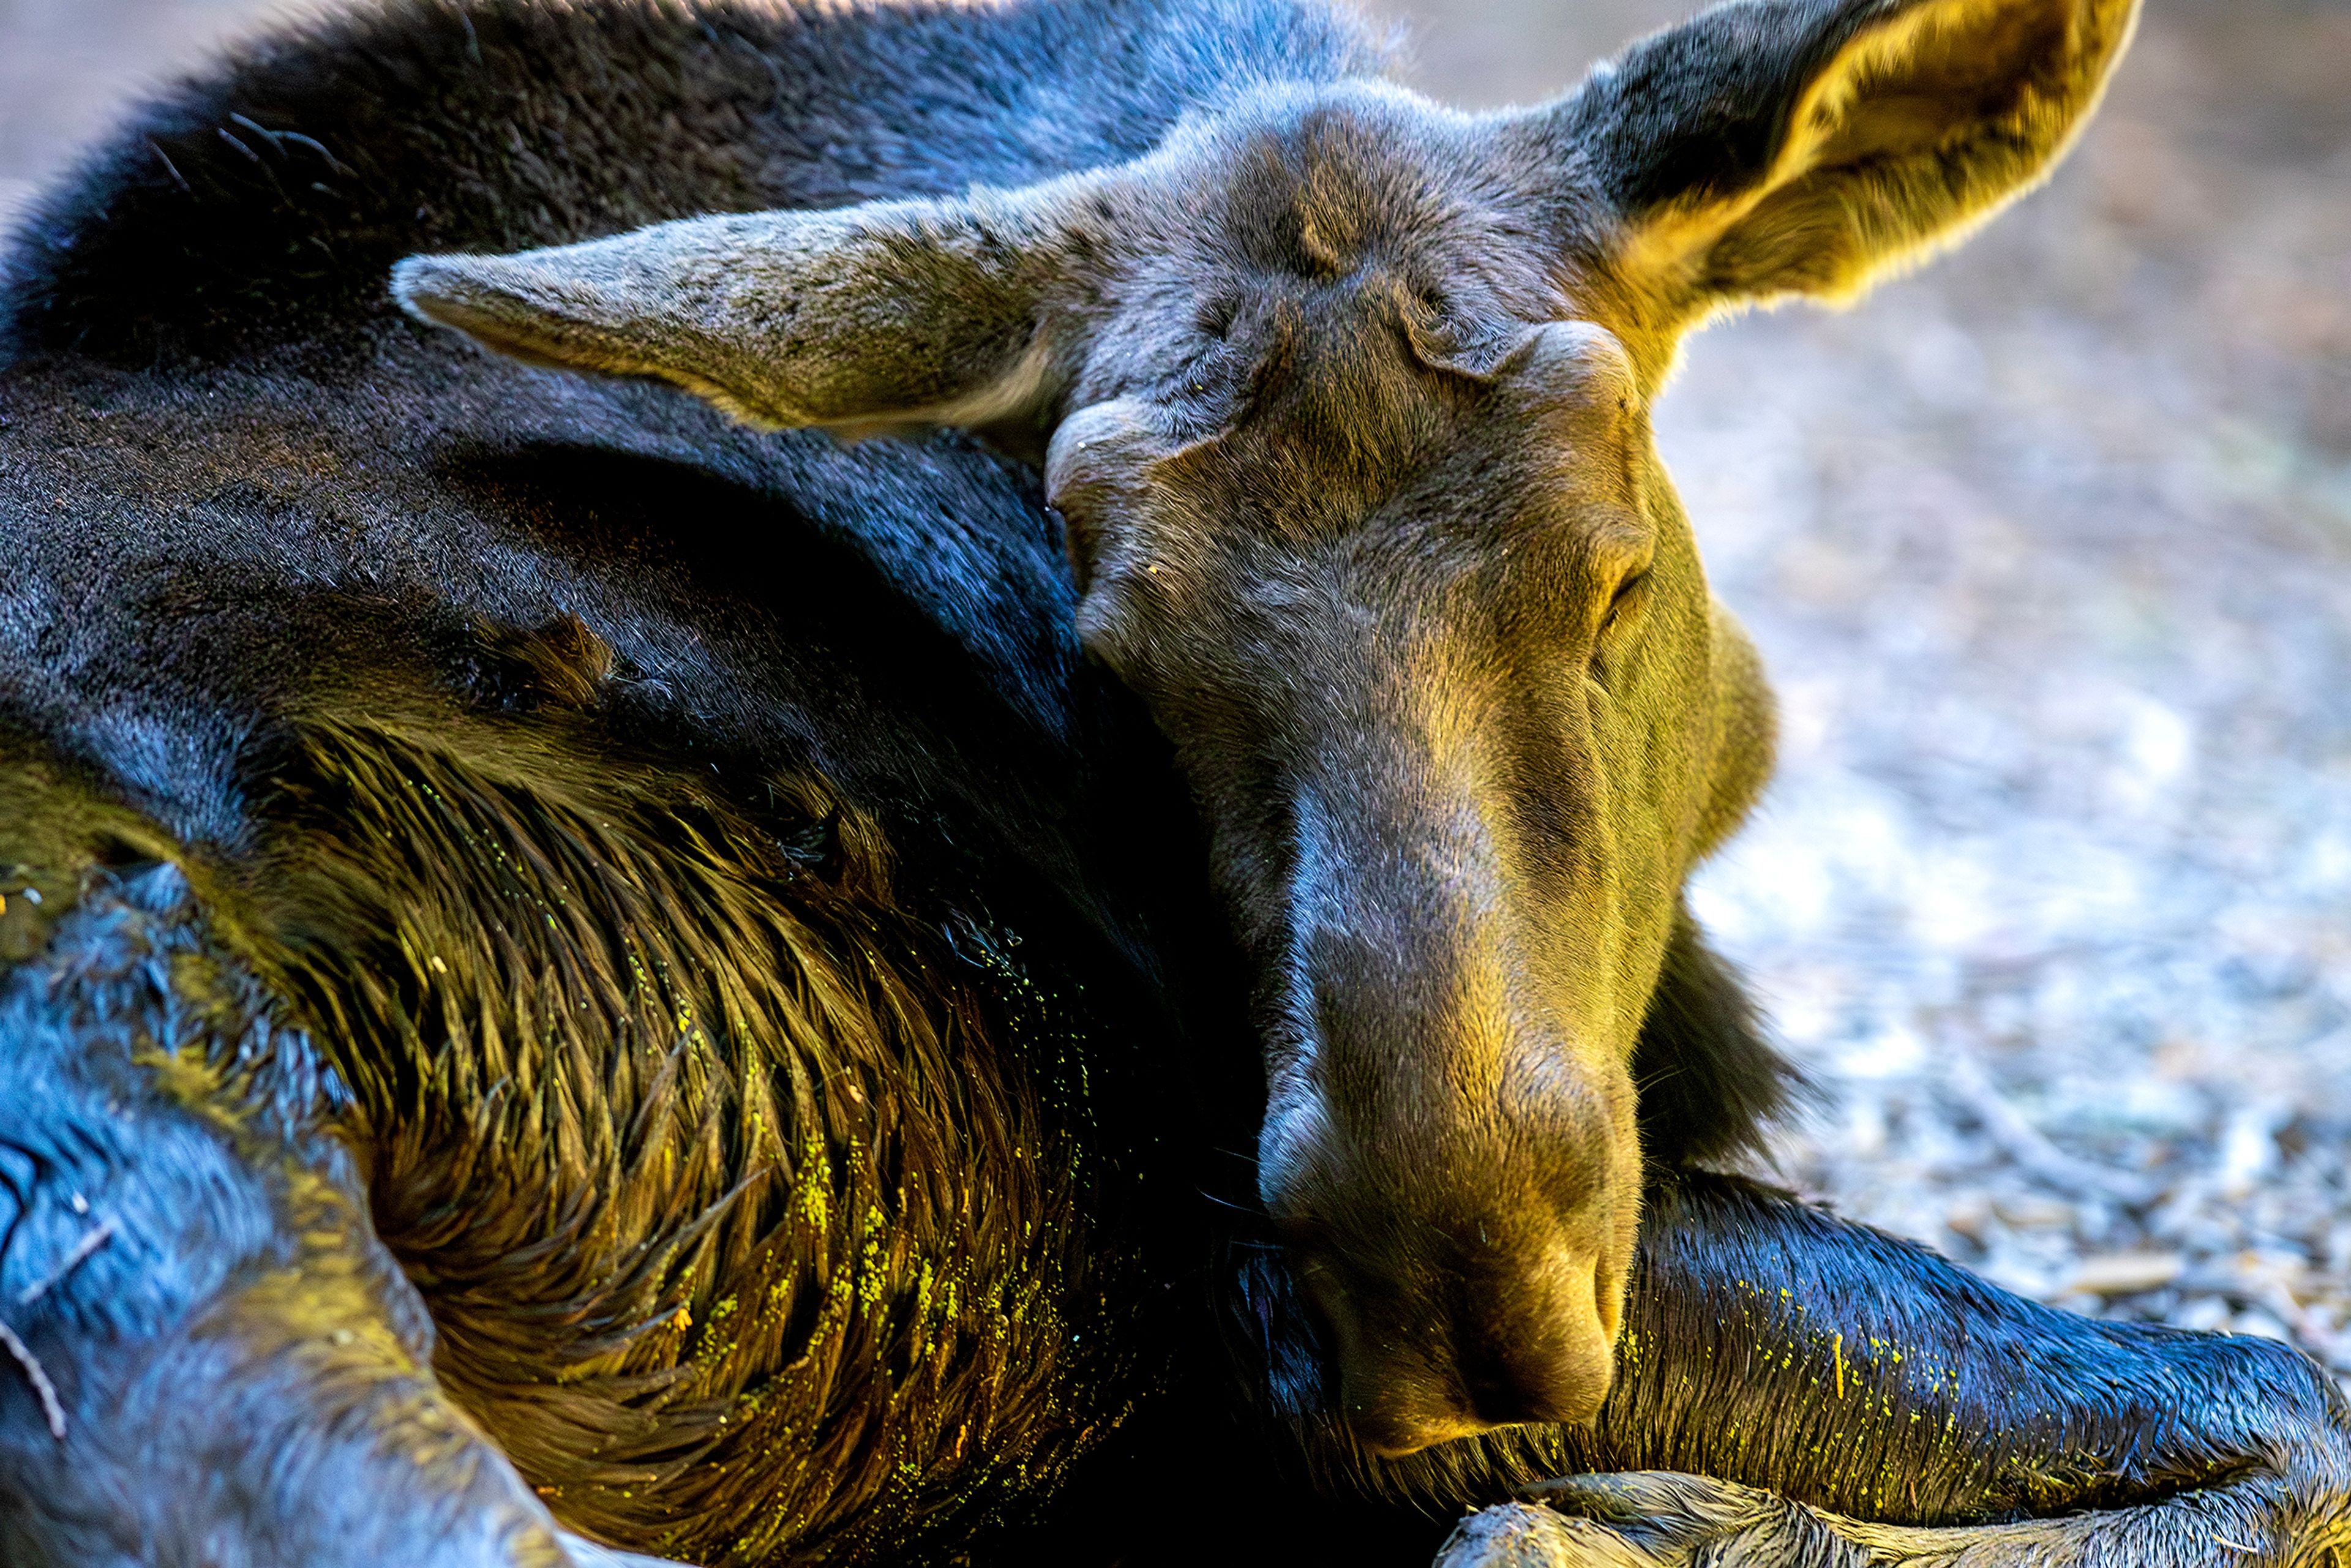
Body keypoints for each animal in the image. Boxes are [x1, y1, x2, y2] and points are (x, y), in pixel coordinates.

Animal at [0, 0, 2341, 1561]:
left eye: (1614, 568)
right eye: (1114, 646)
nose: (1451, 1277)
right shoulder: (1226, 1293)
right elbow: (2286, 1397)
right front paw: (1640, 1521)